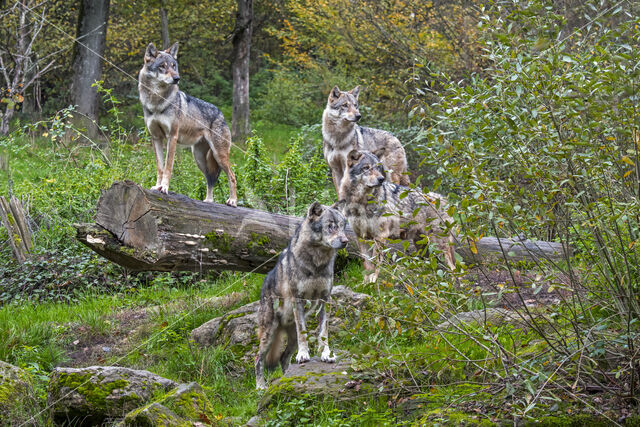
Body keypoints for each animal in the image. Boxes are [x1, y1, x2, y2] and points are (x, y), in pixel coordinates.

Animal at [139, 42, 239, 207]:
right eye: (162, 66)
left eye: (174, 66)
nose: (177, 78)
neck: (157, 102)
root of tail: (221, 114)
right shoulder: (156, 138)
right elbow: (160, 167)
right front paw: (157, 186)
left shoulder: (172, 137)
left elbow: (168, 167)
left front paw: (164, 188)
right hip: (199, 159)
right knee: (210, 179)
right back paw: (208, 201)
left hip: (219, 155)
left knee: (232, 176)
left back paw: (233, 201)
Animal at [252, 203, 348, 392]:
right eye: (330, 226)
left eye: (343, 226)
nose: (346, 241)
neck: (317, 262)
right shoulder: (299, 300)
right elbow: (303, 332)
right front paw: (304, 354)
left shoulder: (325, 299)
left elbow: (324, 332)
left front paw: (326, 354)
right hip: (269, 334)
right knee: (258, 359)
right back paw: (260, 388)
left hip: (289, 340)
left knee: (283, 358)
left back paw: (286, 379)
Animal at [338, 150, 458, 284]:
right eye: (366, 168)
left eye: (378, 168)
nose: (381, 179)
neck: (360, 202)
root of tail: (445, 200)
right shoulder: (362, 237)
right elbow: (367, 264)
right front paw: (365, 284)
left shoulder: (380, 237)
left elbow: (376, 263)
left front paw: (374, 281)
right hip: (423, 247)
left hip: (437, 245)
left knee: (453, 268)